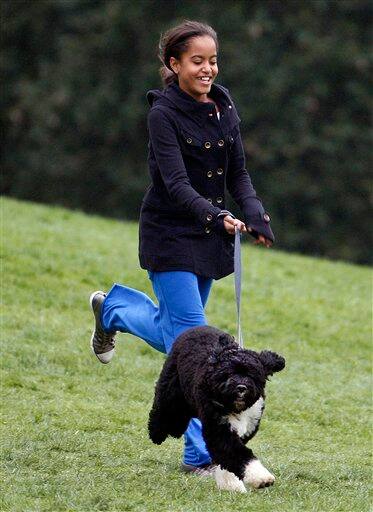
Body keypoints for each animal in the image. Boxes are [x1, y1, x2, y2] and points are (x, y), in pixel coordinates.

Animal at [148, 324, 284, 492]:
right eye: (229, 373)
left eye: (251, 375)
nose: (241, 387)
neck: (235, 408)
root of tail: (196, 328)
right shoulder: (218, 428)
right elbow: (238, 453)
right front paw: (261, 478)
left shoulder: (246, 426)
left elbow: (227, 459)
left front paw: (230, 484)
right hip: (171, 389)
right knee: (164, 411)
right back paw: (157, 433)